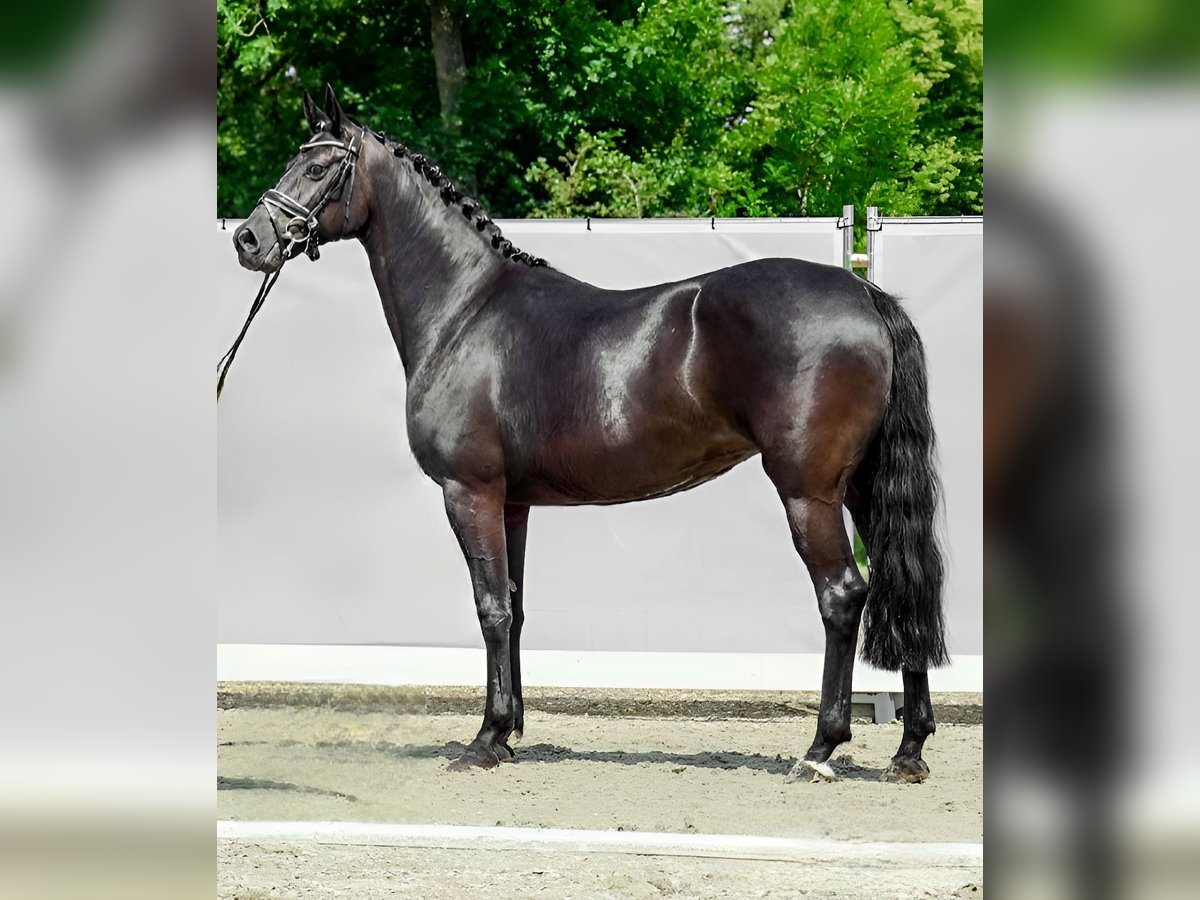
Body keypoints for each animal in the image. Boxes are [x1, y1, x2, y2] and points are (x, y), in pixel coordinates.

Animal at [229, 86, 947, 783]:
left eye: (317, 166)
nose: (248, 239)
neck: (466, 311)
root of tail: (864, 294)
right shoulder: (512, 503)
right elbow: (514, 607)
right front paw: (509, 732)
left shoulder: (469, 492)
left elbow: (489, 608)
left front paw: (484, 740)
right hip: (861, 486)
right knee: (905, 582)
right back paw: (908, 750)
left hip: (808, 489)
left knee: (843, 595)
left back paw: (821, 748)